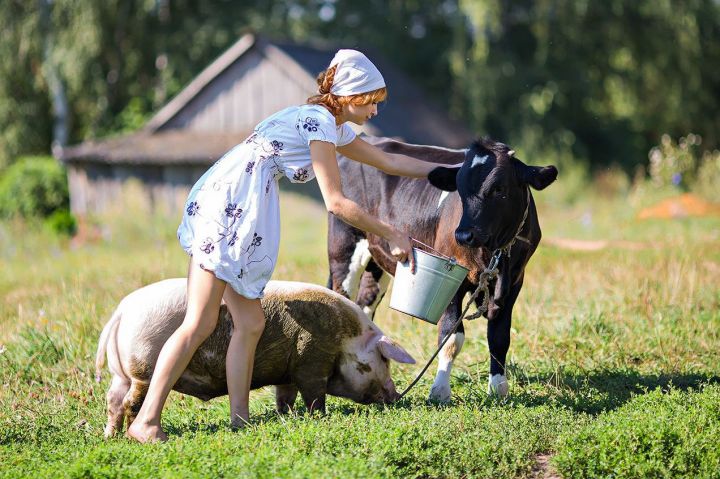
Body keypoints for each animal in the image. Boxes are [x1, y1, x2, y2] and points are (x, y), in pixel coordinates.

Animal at [326, 137, 556, 404]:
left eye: (499, 189)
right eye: (459, 189)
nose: (464, 234)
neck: (493, 254)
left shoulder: (515, 281)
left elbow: (499, 338)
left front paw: (499, 389)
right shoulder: (452, 282)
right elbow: (451, 336)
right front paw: (440, 390)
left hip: (377, 260)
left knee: (365, 304)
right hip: (344, 247)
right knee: (342, 297)